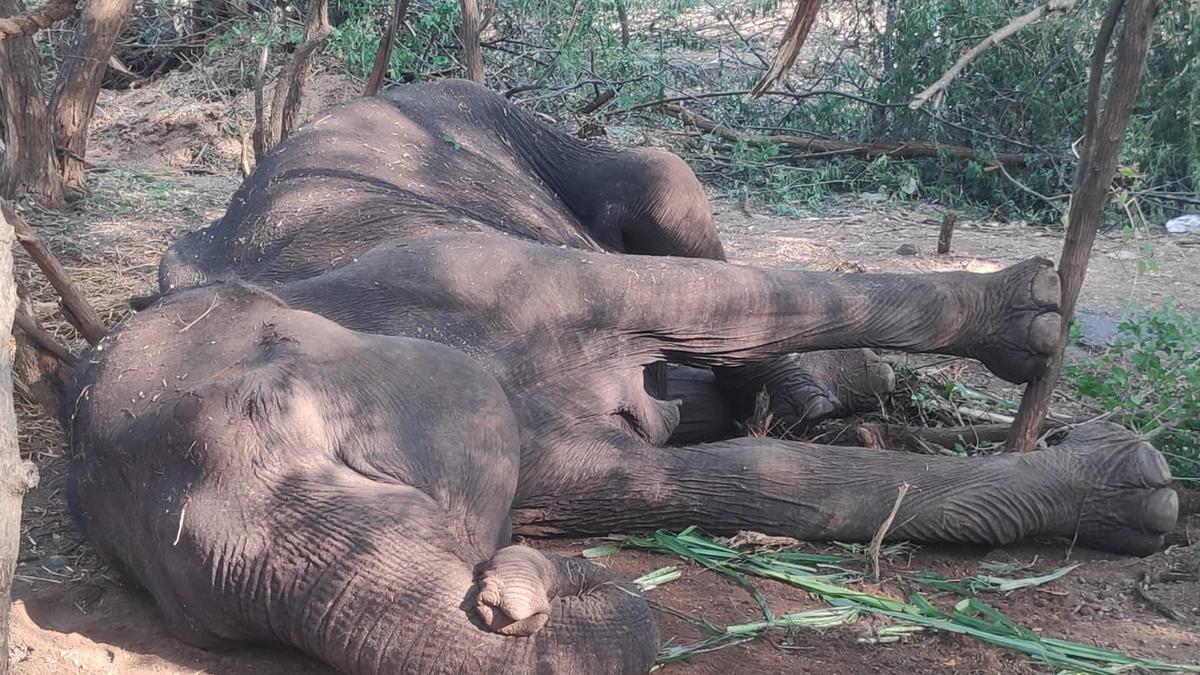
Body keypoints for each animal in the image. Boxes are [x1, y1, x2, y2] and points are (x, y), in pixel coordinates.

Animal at [60, 79, 1176, 672]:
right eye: (203, 620)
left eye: (298, 418)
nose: (501, 593)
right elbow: (722, 484)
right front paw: (1134, 490)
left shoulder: (462, 270)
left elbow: (703, 299)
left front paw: (1044, 333)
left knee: (673, 198)